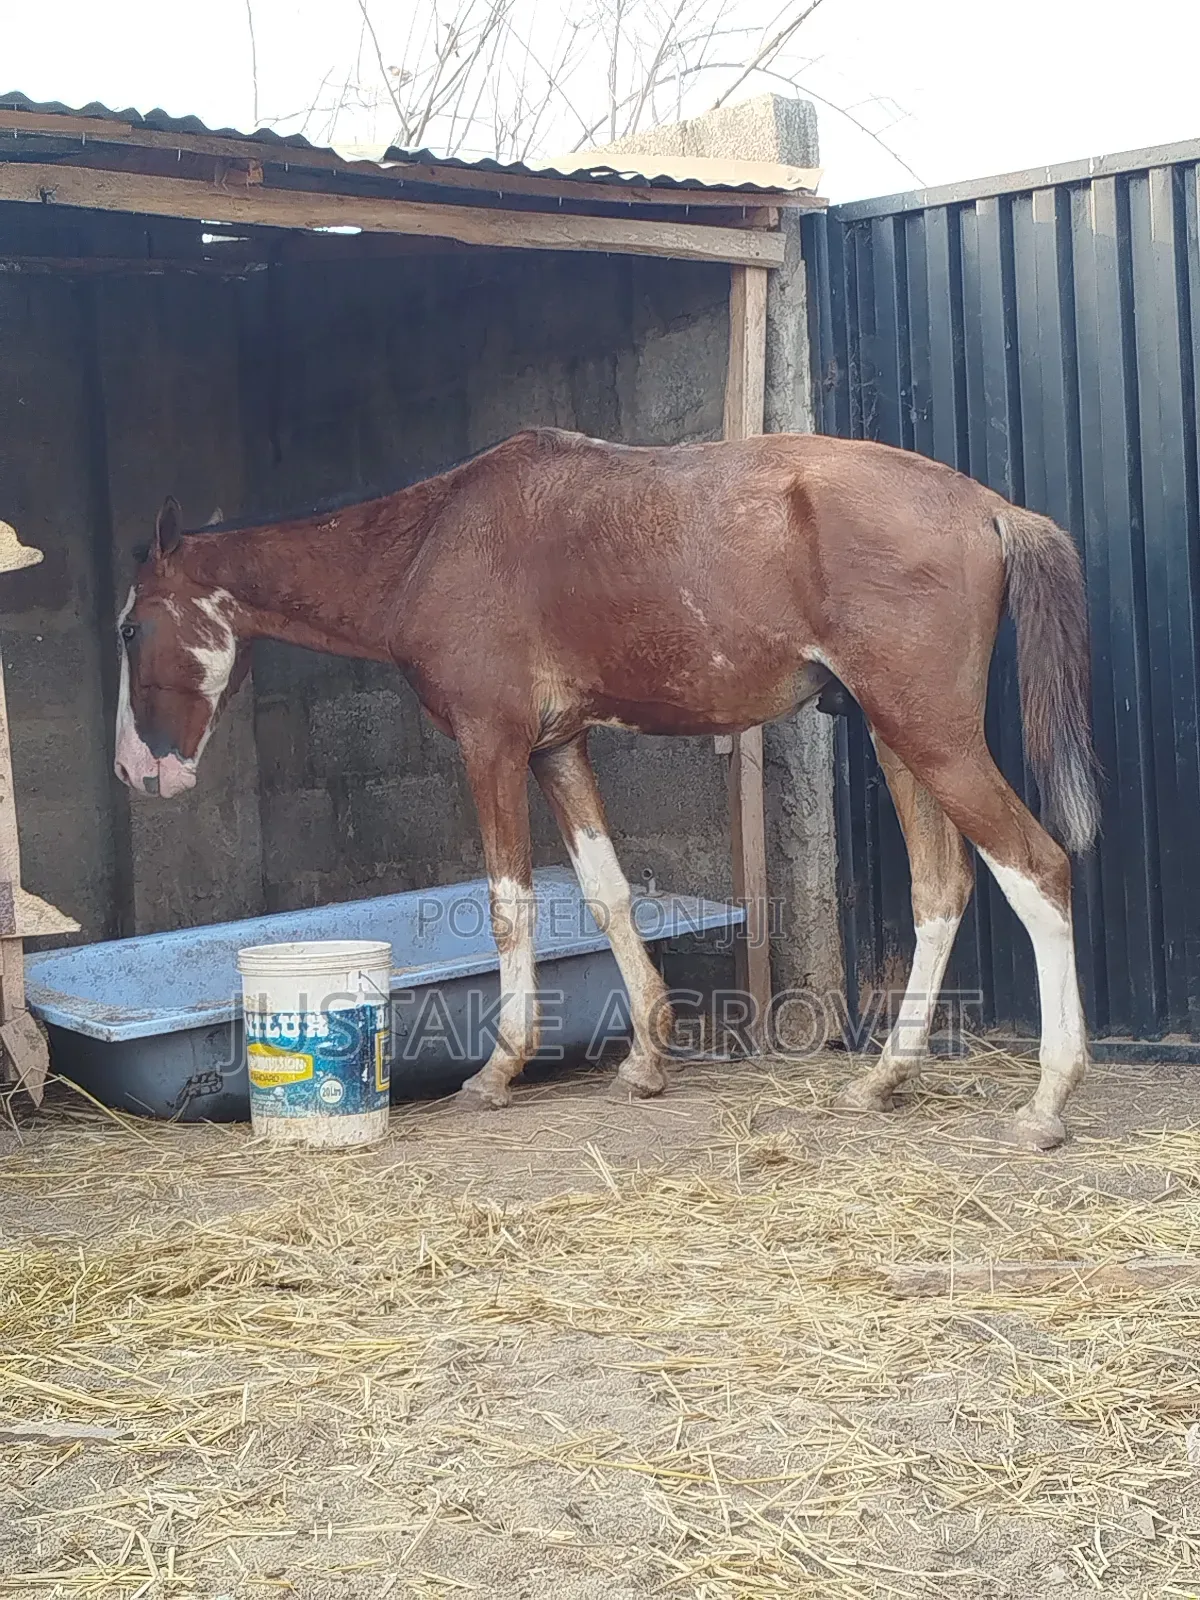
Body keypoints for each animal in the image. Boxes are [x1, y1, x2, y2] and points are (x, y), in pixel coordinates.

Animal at [113, 428, 1099, 1148]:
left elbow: (510, 904)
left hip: (931, 735)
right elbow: (606, 892)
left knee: (1036, 867)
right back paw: (884, 1078)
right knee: (944, 887)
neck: (430, 544)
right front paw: (646, 1060)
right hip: (902, 737)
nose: (134, 769)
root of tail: (991, 509)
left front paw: (499, 1068)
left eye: (129, 628)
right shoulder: (557, 748)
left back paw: (1048, 1101)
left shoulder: (493, 744)